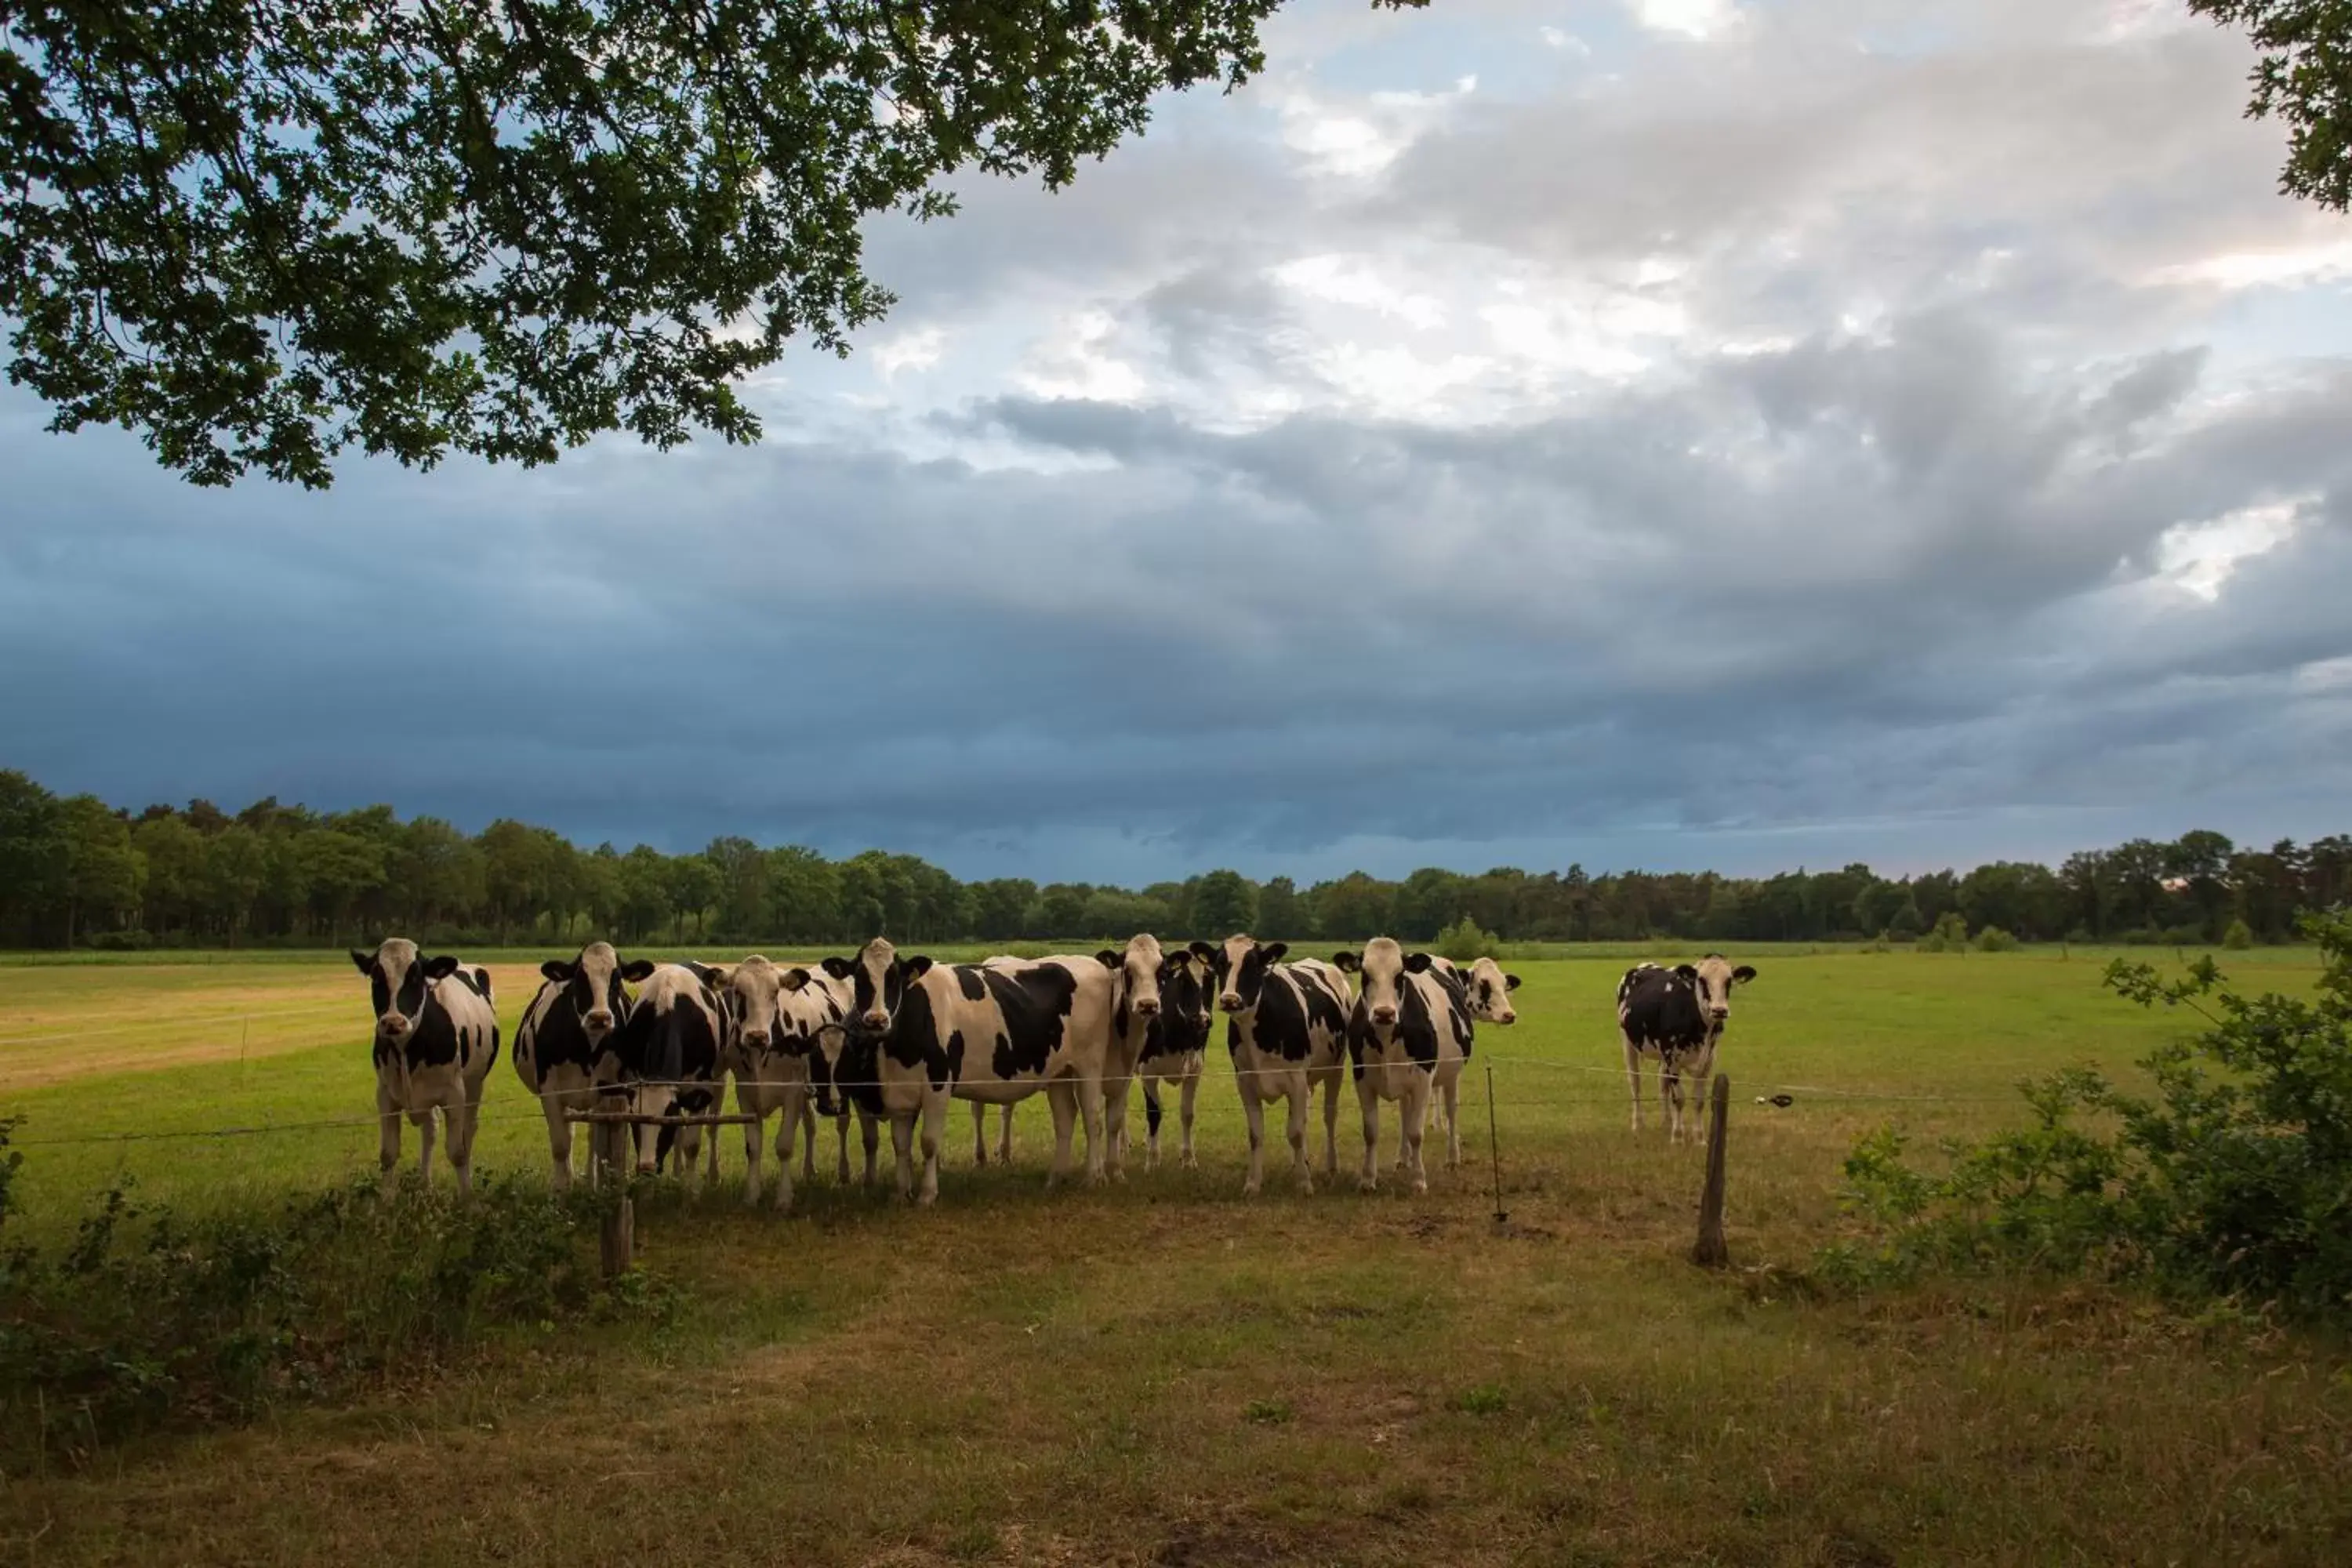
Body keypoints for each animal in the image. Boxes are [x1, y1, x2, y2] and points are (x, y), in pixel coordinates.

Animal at [343, 940, 496, 1194]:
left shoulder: (455, 1094)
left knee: (469, 1129)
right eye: (376, 975)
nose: (393, 1022)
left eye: (416, 977)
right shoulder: (385, 1094)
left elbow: (457, 1151)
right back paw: (425, 1184)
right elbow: (388, 1154)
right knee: (430, 1130)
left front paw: (468, 1199)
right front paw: (386, 1201)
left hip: (475, 1084)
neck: (407, 1050)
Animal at [517, 945, 654, 1189]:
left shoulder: (612, 1089)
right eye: (580, 978)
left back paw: (591, 1180)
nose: (599, 1018)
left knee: (594, 1138)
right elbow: (561, 1145)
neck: (586, 1050)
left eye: (617, 979)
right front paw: (562, 1189)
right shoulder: (550, 1090)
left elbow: (610, 1145)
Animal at [1214, 931, 1364, 1203]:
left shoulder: (1296, 1079)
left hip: (1335, 1069)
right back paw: (1300, 1162)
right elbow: (1256, 1134)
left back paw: (1330, 1167)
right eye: (1220, 964)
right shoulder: (1245, 1081)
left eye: (1254, 964)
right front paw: (1253, 1184)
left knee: (1329, 1117)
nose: (1230, 1000)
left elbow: (1294, 1132)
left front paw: (1305, 1185)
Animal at [1336, 945, 1477, 1189]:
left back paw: (1452, 1158)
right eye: (1365, 975)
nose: (1384, 1013)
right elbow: (1371, 1132)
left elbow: (1416, 1133)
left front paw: (1419, 1180)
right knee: (1405, 1113)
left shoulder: (1423, 1081)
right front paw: (1368, 1179)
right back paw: (1404, 1158)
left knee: (1451, 1111)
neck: (1386, 1039)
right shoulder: (1362, 1079)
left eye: (1400, 975)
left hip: (1451, 1075)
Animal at [1618, 959, 1769, 1142]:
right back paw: (1638, 1124)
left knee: (1662, 1085)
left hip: (1663, 1056)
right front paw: (1678, 1136)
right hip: (1628, 1043)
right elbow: (1679, 1098)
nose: (1719, 1010)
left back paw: (1667, 1122)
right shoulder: (1673, 1060)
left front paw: (1699, 1137)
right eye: (1702, 980)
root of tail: (1646, 965)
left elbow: (1699, 1100)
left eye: (1729, 980)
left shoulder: (1707, 1060)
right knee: (1635, 1084)